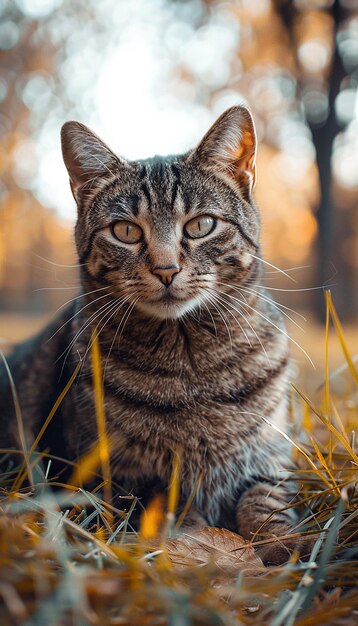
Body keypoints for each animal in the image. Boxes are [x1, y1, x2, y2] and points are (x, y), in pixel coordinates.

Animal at [0, 108, 308, 564]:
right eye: (126, 231)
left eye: (201, 225)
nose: (166, 269)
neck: (191, 360)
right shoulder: (116, 482)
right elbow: (175, 514)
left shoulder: (272, 458)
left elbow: (267, 502)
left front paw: (284, 545)